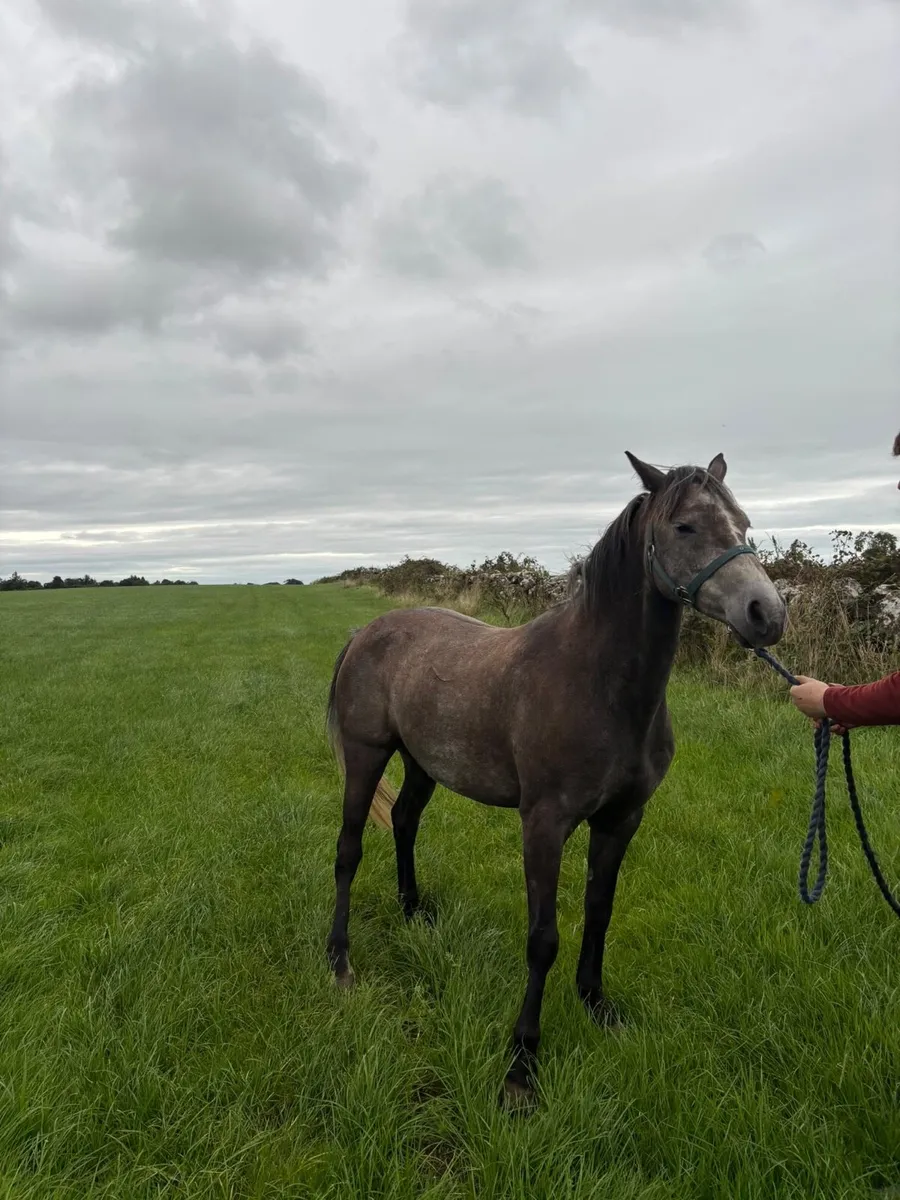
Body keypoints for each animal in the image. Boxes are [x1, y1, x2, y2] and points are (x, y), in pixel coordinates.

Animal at [324, 451, 787, 1108]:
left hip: (423, 763)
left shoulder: (620, 820)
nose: (766, 614)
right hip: (368, 757)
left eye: (744, 525)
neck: (598, 684)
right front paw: (521, 1064)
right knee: (349, 849)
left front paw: (596, 1005)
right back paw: (340, 961)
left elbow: (599, 911)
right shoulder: (544, 824)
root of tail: (365, 633)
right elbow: (543, 937)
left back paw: (413, 912)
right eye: (685, 527)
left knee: (406, 822)